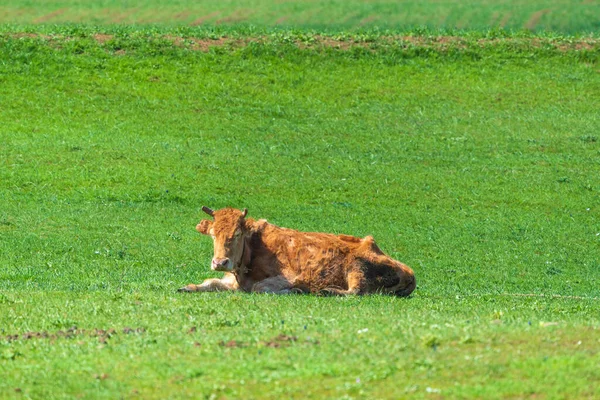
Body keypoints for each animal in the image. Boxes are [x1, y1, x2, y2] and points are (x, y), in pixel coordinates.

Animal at [176, 206, 414, 296]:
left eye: (237, 234)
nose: (220, 262)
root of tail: (410, 273)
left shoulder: (288, 277)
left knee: (355, 292)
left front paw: (294, 291)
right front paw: (187, 287)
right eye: (212, 234)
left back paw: (327, 291)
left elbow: (261, 288)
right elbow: (210, 282)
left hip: (357, 268)